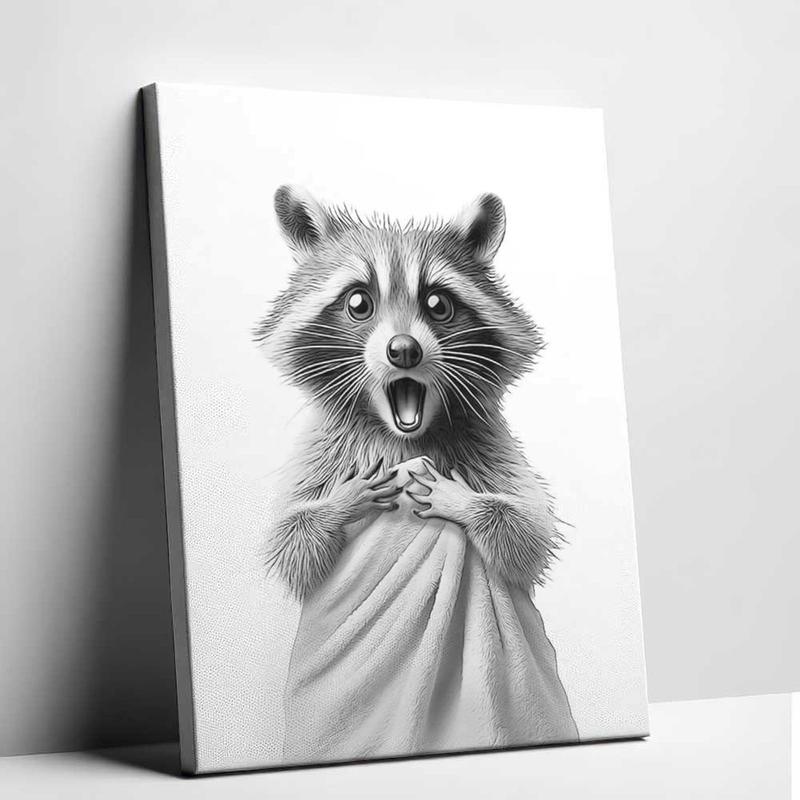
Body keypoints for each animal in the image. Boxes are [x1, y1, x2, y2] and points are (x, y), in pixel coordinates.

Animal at [256, 185, 562, 599]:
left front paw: (464, 502)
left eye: (438, 304)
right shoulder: (321, 452)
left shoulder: (492, 447)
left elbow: (527, 536)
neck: (402, 437)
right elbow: (292, 544)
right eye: (358, 303)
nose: (404, 350)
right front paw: (343, 500)